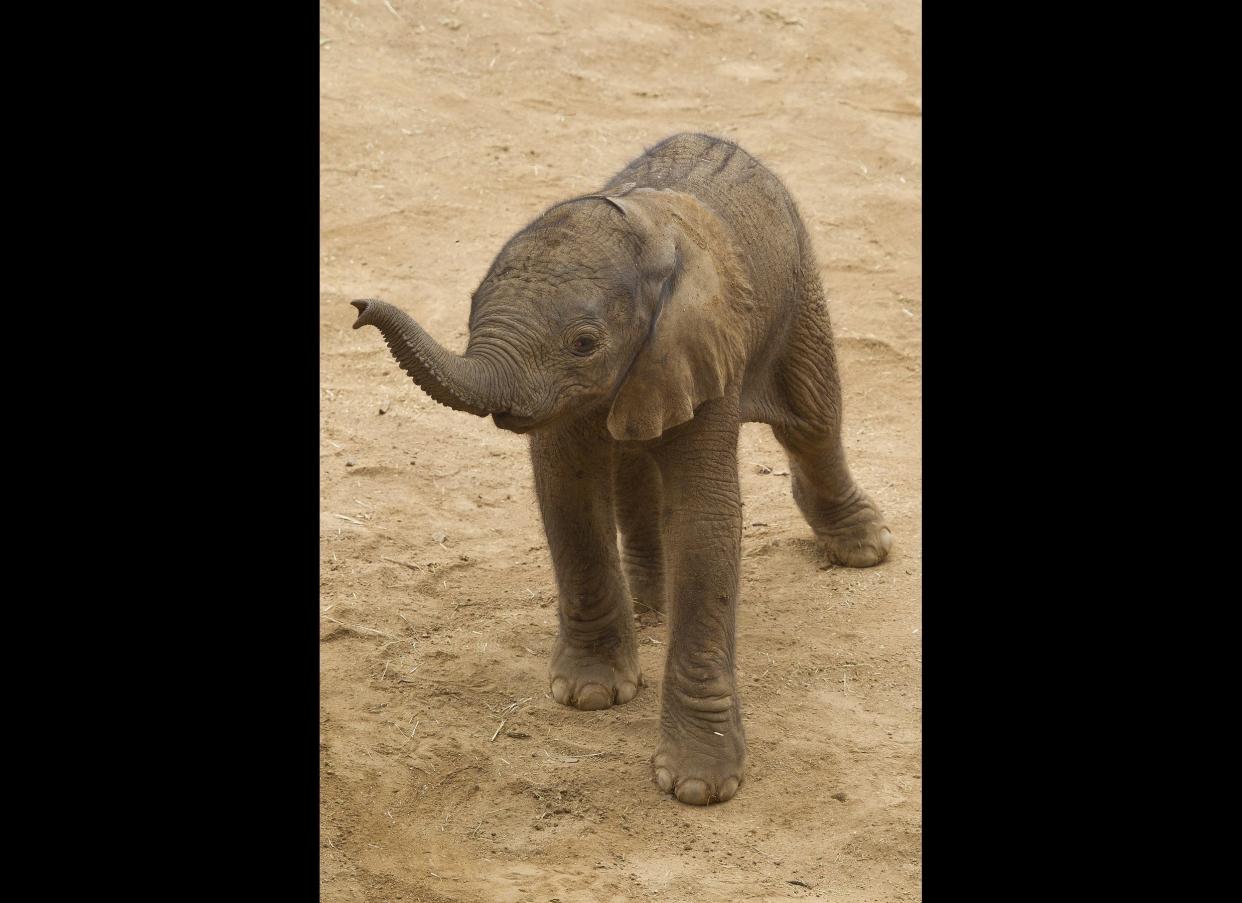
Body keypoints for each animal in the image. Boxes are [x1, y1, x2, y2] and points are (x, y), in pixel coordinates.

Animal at [355, 132, 889, 804]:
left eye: (584, 343)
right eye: (471, 304)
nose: (356, 307)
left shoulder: (702, 345)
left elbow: (705, 519)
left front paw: (698, 787)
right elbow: (569, 493)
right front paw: (590, 695)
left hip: (800, 290)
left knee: (813, 421)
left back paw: (866, 549)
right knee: (636, 465)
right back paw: (650, 602)